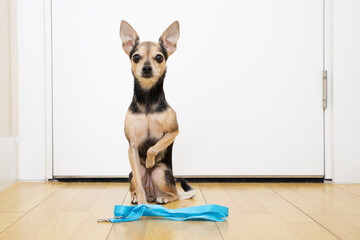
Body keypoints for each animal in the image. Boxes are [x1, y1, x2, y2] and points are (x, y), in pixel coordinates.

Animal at [119, 20, 195, 204]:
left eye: (159, 57)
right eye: (136, 57)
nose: (146, 68)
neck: (148, 99)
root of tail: (152, 193)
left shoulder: (173, 131)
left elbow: (152, 148)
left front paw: (149, 160)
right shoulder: (132, 146)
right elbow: (139, 181)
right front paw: (141, 203)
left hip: (161, 174)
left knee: (175, 194)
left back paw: (163, 198)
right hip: (135, 172)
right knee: (137, 182)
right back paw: (136, 197)